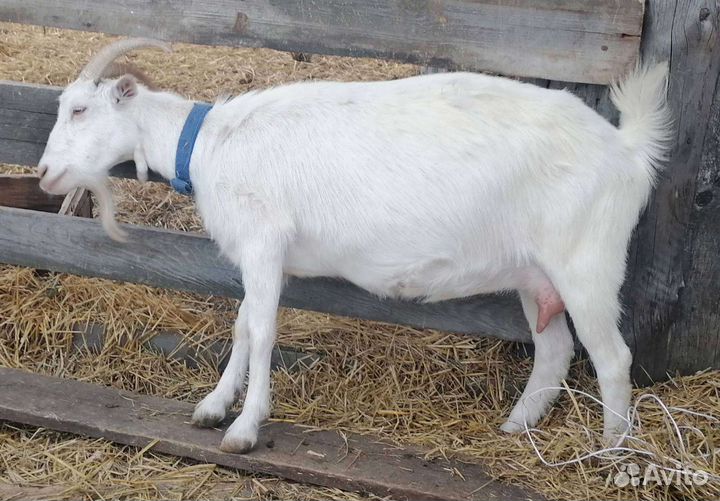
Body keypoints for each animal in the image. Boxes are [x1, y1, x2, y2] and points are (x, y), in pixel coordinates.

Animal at [38, 38, 672, 453]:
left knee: (612, 357)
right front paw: (213, 407)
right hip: (535, 273)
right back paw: (518, 425)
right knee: (555, 349)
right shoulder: (261, 256)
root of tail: (626, 147)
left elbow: (262, 330)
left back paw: (611, 449)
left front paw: (244, 429)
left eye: (80, 109)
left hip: (586, 261)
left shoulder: (265, 243)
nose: (44, 173)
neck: (211, 144)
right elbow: (242, 324)